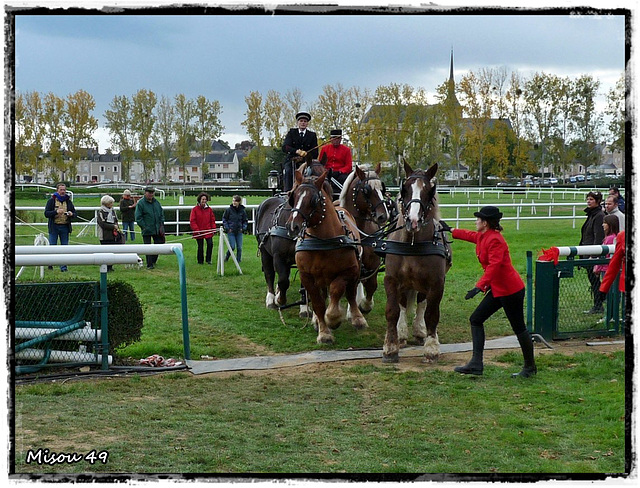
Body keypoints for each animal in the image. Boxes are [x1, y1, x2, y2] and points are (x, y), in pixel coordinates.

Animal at [288, 170, 368, 346]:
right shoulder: (307, 277)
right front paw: (324, 332)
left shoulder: (348, 271)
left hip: (354, 271)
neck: (322, 242)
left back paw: (357, 318)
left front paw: (333, 318)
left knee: (350, 293)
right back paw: (317, 321)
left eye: (313, 199)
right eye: (293, 196)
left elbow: (337, 290)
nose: (293, 226)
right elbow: (318, 303)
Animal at [338, 165, 388, 312]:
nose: (383, 216)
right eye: (366, 190)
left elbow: (371, 286)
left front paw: (365, 305)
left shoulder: (373, 264)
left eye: (382, 188)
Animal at [382, 163, 452, 362]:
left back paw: (421, 332)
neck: (411, 246)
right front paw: (391, 347)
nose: (413, 221)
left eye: (429, 191)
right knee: (403, 304)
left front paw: (432, 348)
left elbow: (431, 314)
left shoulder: (436, 283)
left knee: (422, 304)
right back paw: (402, 333)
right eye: (404, 188)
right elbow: (392, 311)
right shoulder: (391, 280)